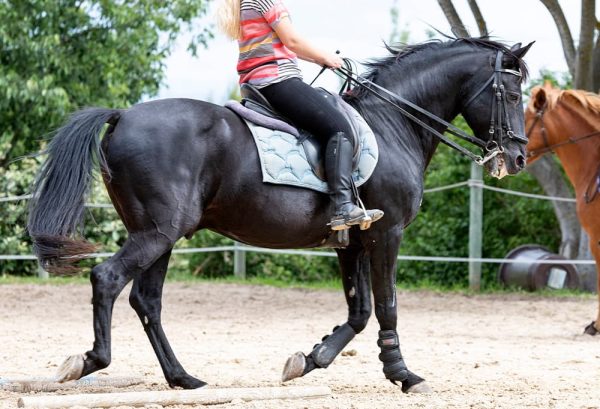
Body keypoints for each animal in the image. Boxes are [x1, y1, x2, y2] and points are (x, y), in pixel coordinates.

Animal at [29, 39, 528, 392]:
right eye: (511, 92)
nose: (519, 158)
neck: (394, 125)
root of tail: (123, 116)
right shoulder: (386, 234)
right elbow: (386, 305)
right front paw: (403, 374)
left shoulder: (353, 241)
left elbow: (360, 310)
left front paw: (309, 360)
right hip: (157, 232)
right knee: (108, 280)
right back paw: (91, 361)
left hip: (160, 234)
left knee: (146, 301)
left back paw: (183, 378)